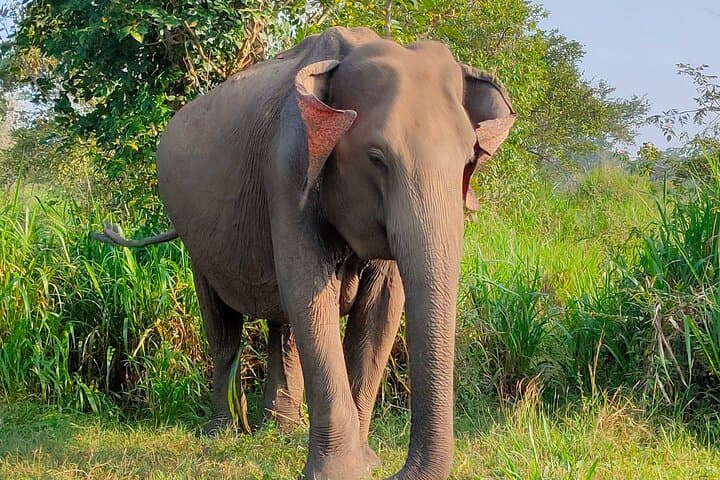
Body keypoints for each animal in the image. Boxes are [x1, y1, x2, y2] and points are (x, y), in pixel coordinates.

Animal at [94, 26, 515, 480]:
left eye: (468, 159)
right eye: (376, 158)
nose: (395, 470)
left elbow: (380, 311)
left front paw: (365, 462)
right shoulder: (287, 168)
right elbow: (310, 291)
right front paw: (342, 472)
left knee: (285, 324)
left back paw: (280, 431)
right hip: (194, 235)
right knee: (223, 326)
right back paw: (222, 433)